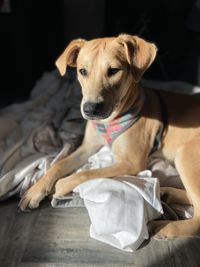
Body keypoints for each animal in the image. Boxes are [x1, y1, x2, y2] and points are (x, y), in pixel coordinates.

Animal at [19, 34, 200, 241]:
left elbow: (85, 173)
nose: (90, 109)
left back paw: (165, 227)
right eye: (82, 71)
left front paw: (60, 186)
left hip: (186, 155)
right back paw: (166, 193)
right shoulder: (87, 147)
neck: (111, 119)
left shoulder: (131, 162)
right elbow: (58, 165)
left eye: (114, 71)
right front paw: (35, 191)